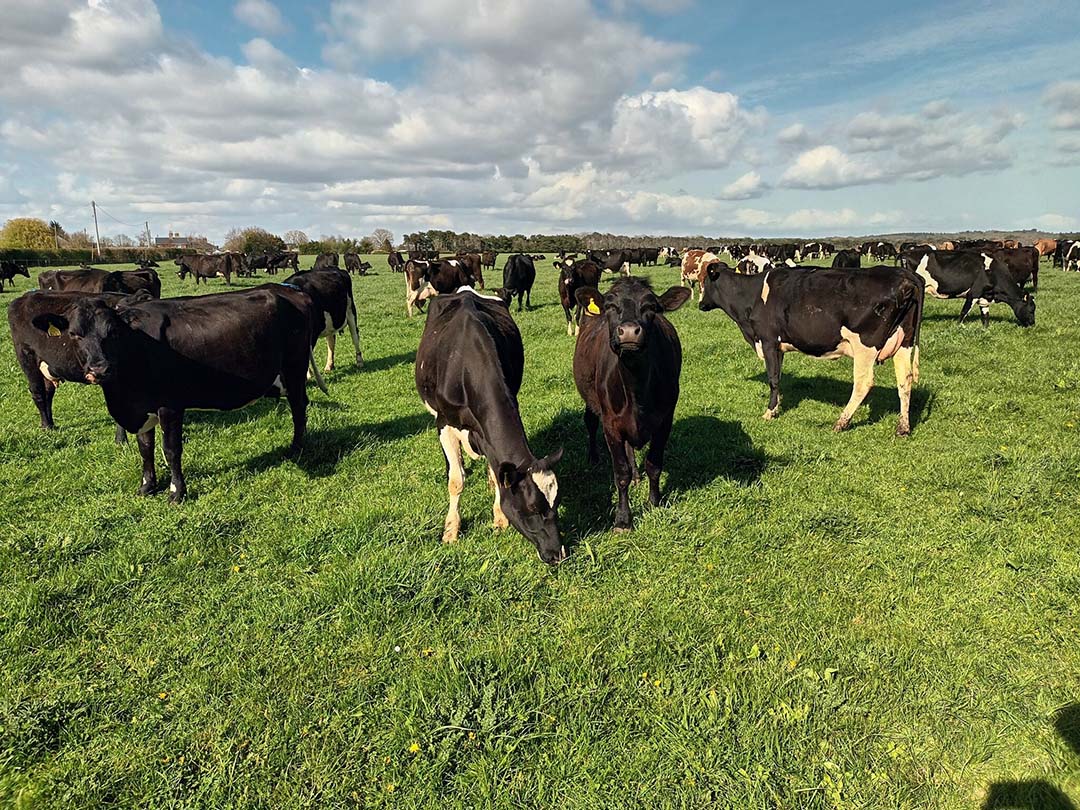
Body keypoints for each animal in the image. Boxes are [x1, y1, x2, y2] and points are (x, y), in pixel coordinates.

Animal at [7, 291, 129, 444]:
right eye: (73, 334)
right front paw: (121, 440)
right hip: (26, 357)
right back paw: (46, 426)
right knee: (38, 393)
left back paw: (51, 424)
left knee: (48, 392)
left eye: (113, 331)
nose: (98, 369)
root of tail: (25, 297)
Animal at [412, 289, 565, 565]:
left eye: (556, 503)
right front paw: (451, 531)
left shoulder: (487, 435)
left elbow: (496, 472)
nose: (557, 554)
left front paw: (499, 518)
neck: (466, 365)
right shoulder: (444, 423)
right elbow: (456, 481)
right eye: (531, 509)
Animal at [574, 278, 691, 533]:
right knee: (590, 423)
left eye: (651, 307)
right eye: (610, 306)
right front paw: (623, 519)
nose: (628, 331)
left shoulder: (665, 421)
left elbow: (654, 464)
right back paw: (593, 457)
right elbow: (620, 473)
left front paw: (654, 502)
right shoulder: (611, 425)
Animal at [699, 266, 928, 438]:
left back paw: (841, 422)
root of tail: (906, 276)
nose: (700, 304)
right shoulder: (779, 347)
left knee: (864, 383)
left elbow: (773, 378)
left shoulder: (768, 341)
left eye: (703, 281)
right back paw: (903, 427)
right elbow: (779, 377)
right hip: (904, 342)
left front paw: (769, 412)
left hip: (866, 346)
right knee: (905, 380)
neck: (752, 297)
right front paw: (777, 406)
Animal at [898, 253, 1032, 330]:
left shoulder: (984, 298)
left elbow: (985, 316)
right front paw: (959, 327)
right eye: (1032, 309)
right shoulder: (974, 293)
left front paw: (985, 330)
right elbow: (964, 311)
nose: (1032, 324)